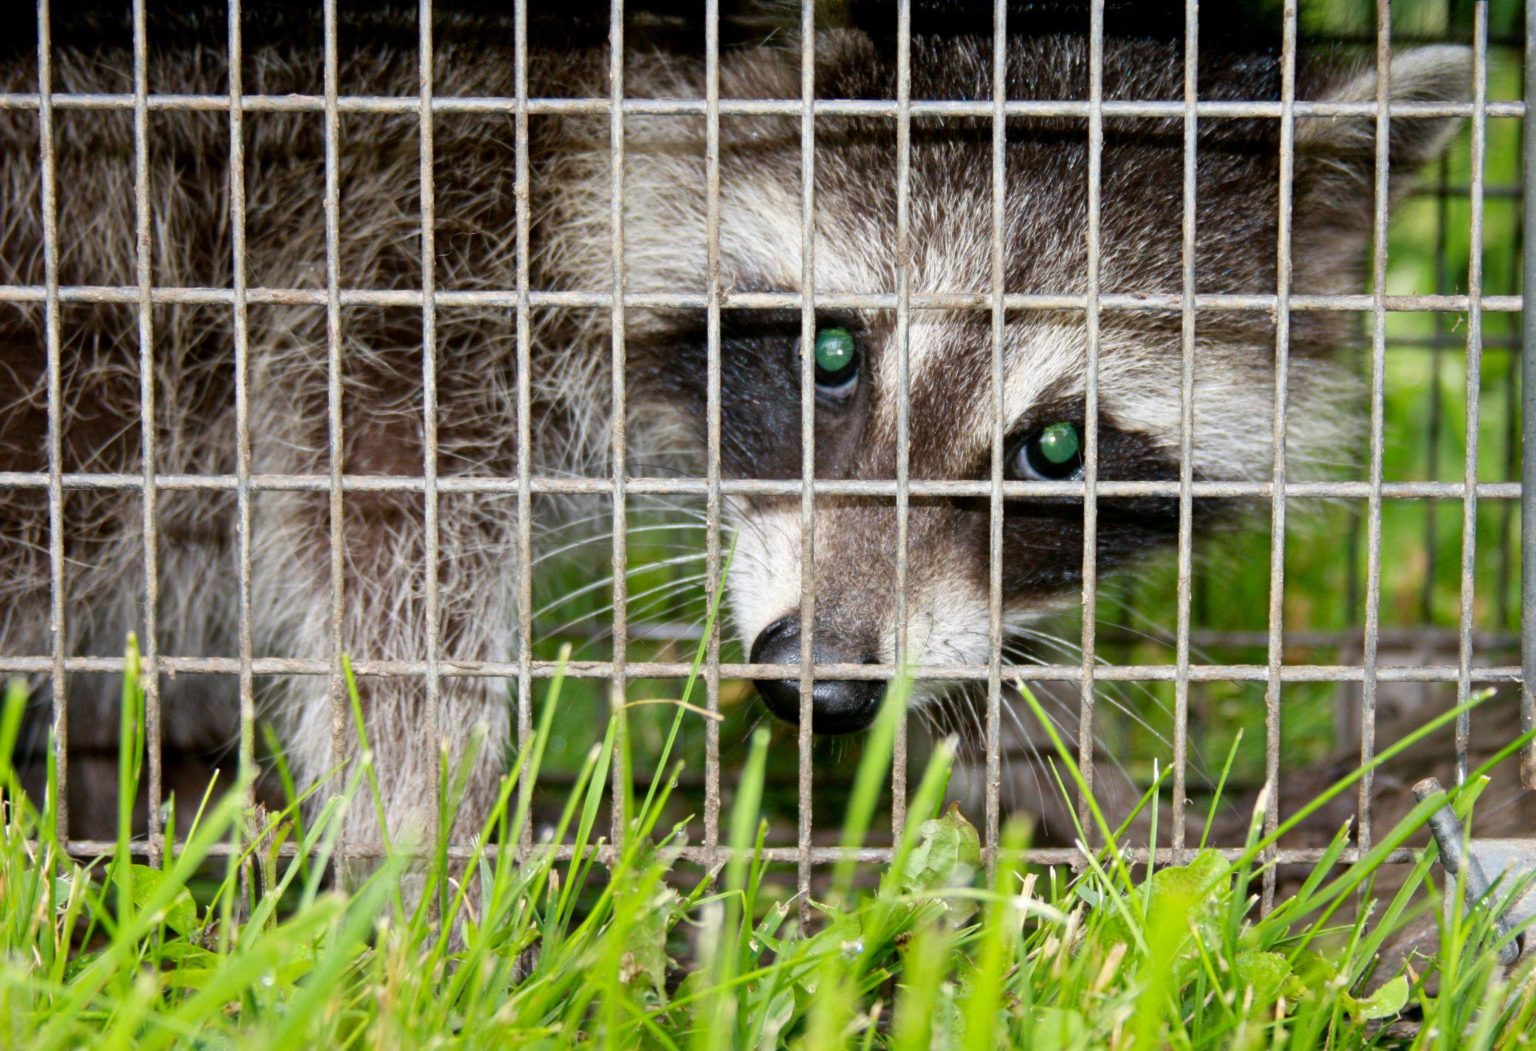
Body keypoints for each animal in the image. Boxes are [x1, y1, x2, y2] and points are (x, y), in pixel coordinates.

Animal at [0, 2, 1470, 852]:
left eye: (1056, 448)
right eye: (832, 351)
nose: (819, 681)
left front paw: (1054, 770)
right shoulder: (394, 225)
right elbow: (384, 533)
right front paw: (421, 865)